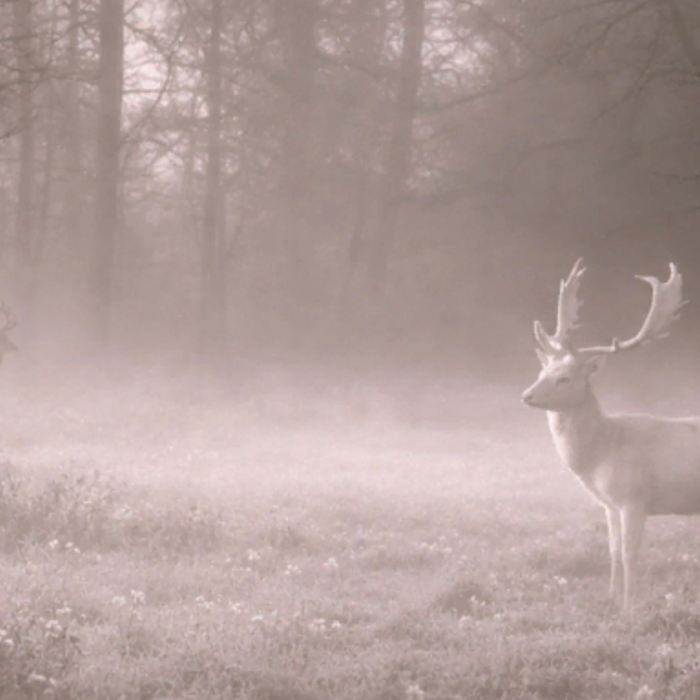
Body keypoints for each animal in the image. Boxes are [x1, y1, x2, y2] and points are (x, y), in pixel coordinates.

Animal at [521, 259, 696, 612]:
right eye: (542, 371)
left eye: (565, 378)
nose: (526, 395)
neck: (603, 451)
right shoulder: (609, 504)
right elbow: (613, 552)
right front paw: (610, 599)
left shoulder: (634, 497)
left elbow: (630, 555)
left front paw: (630, 608)